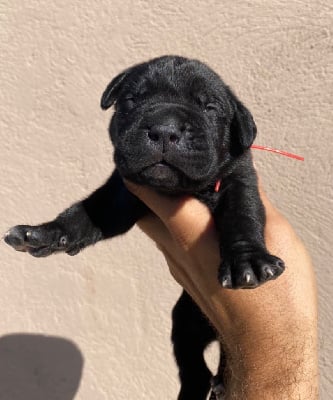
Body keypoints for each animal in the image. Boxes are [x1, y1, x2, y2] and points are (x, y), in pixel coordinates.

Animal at [3, 56, 284, 400]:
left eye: (209, 107)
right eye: (132, 100)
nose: (164, 130)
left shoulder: (238, 179)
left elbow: (242, 215)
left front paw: (248, 262)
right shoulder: (121, 195)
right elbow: (85, 213)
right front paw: (45, 232)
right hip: (185, 322)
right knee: (194, 368)